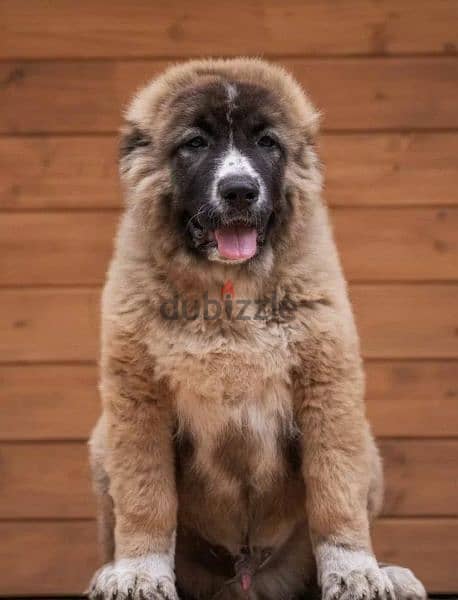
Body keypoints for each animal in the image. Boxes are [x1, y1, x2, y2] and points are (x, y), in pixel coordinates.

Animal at [87, 57, 426, 600]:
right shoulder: (137, 400)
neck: (228, 292)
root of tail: (247, 577)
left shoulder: (327, 391)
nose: (240, 191)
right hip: (102, 446)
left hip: (367, 448)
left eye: (267, 142)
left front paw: (355, 571)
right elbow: (146, 498)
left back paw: (389, 571)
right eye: (194, 143)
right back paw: (109, 571)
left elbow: (335, 493)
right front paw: (138, 572)